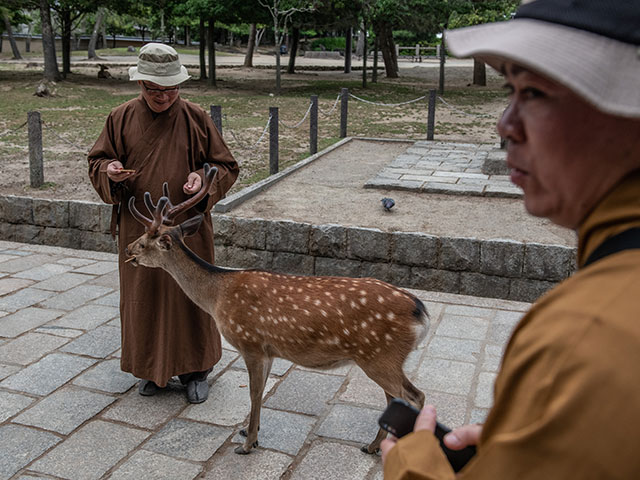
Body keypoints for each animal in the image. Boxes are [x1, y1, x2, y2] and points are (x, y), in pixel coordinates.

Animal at [124, 164, 430, 454]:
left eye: (144, 242)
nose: (128, 249)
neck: (217, 296)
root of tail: (421, 313)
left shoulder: (250, 343)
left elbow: (253, 393)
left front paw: (247, 444)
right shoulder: (270, 350)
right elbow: (261, 393)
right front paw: (250, 433)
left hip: (380, 356)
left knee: (415, 396)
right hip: (383, 359)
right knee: (396, 397)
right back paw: (374, 445)